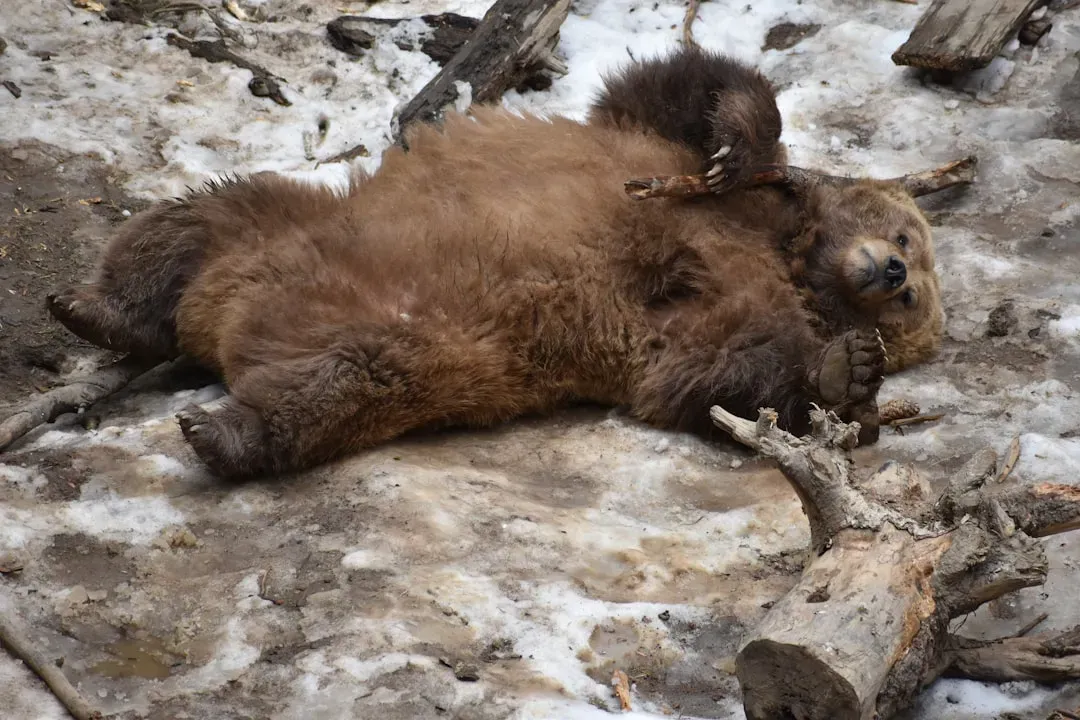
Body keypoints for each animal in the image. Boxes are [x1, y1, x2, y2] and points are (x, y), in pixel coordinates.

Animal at [45, 46, 944, 480]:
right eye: (907, 238)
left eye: (913, 301)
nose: (894, 275)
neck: (788, 252)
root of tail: (225, 326)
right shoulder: (662, 160)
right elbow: (677, 92)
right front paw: (736, 137)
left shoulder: (710, 306)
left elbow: (715, 373)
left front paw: (848, 371)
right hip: (296, 222)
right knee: (198, 216)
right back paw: (97, 309)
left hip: (424, 346)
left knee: (337, 385)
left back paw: (221, 430)